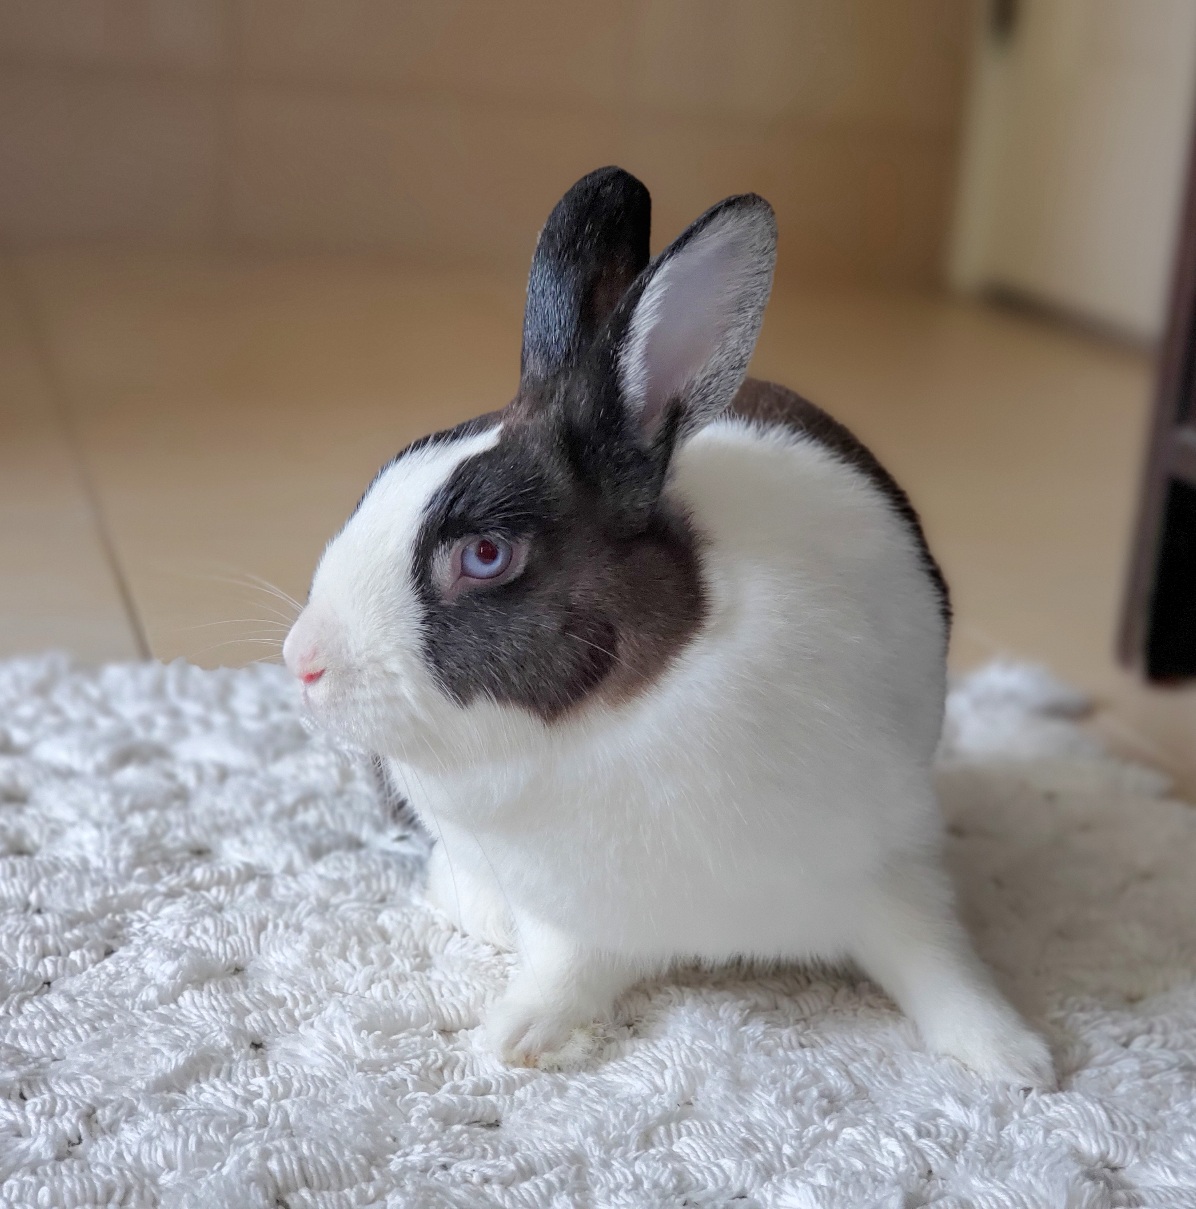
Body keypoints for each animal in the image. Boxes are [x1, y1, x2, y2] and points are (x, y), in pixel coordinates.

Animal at [283, 166, 1054, 1087]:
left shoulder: (890, 865)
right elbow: (564, 968)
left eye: (485, 554)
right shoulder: (577, 916)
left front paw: (1013, 1058)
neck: (615, 721)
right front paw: (519, 1035)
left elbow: (938, 957)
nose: (302, 660)